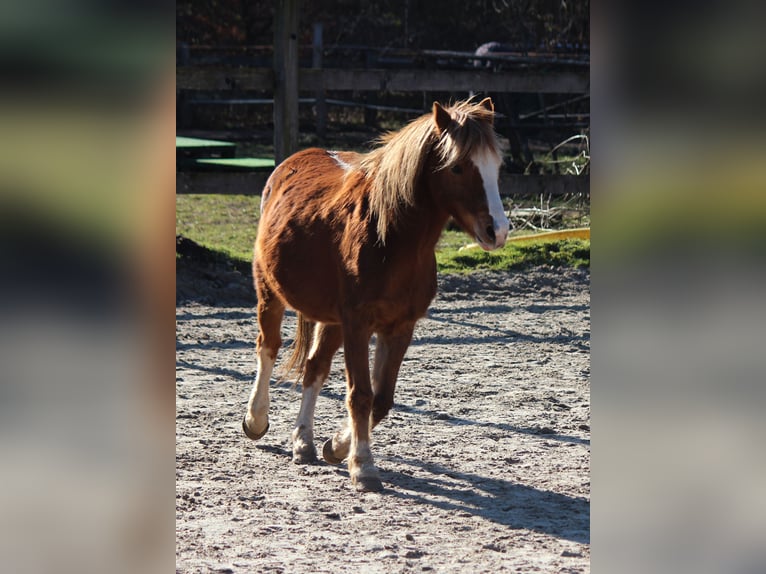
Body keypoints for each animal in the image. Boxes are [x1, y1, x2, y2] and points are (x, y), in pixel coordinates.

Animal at [243, 97, 509, 492]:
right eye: (458, 167)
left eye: (497, 166)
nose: (498, 230)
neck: (391, 239)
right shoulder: (358, 324)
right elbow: (361, 394)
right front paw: (363, 465)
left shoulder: (399, 326)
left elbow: (381, 399)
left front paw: (338, 446)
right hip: (270, 294)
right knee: (268, 348)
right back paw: (256, 420)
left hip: (331, 320)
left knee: (314, 367)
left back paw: (303, 441)